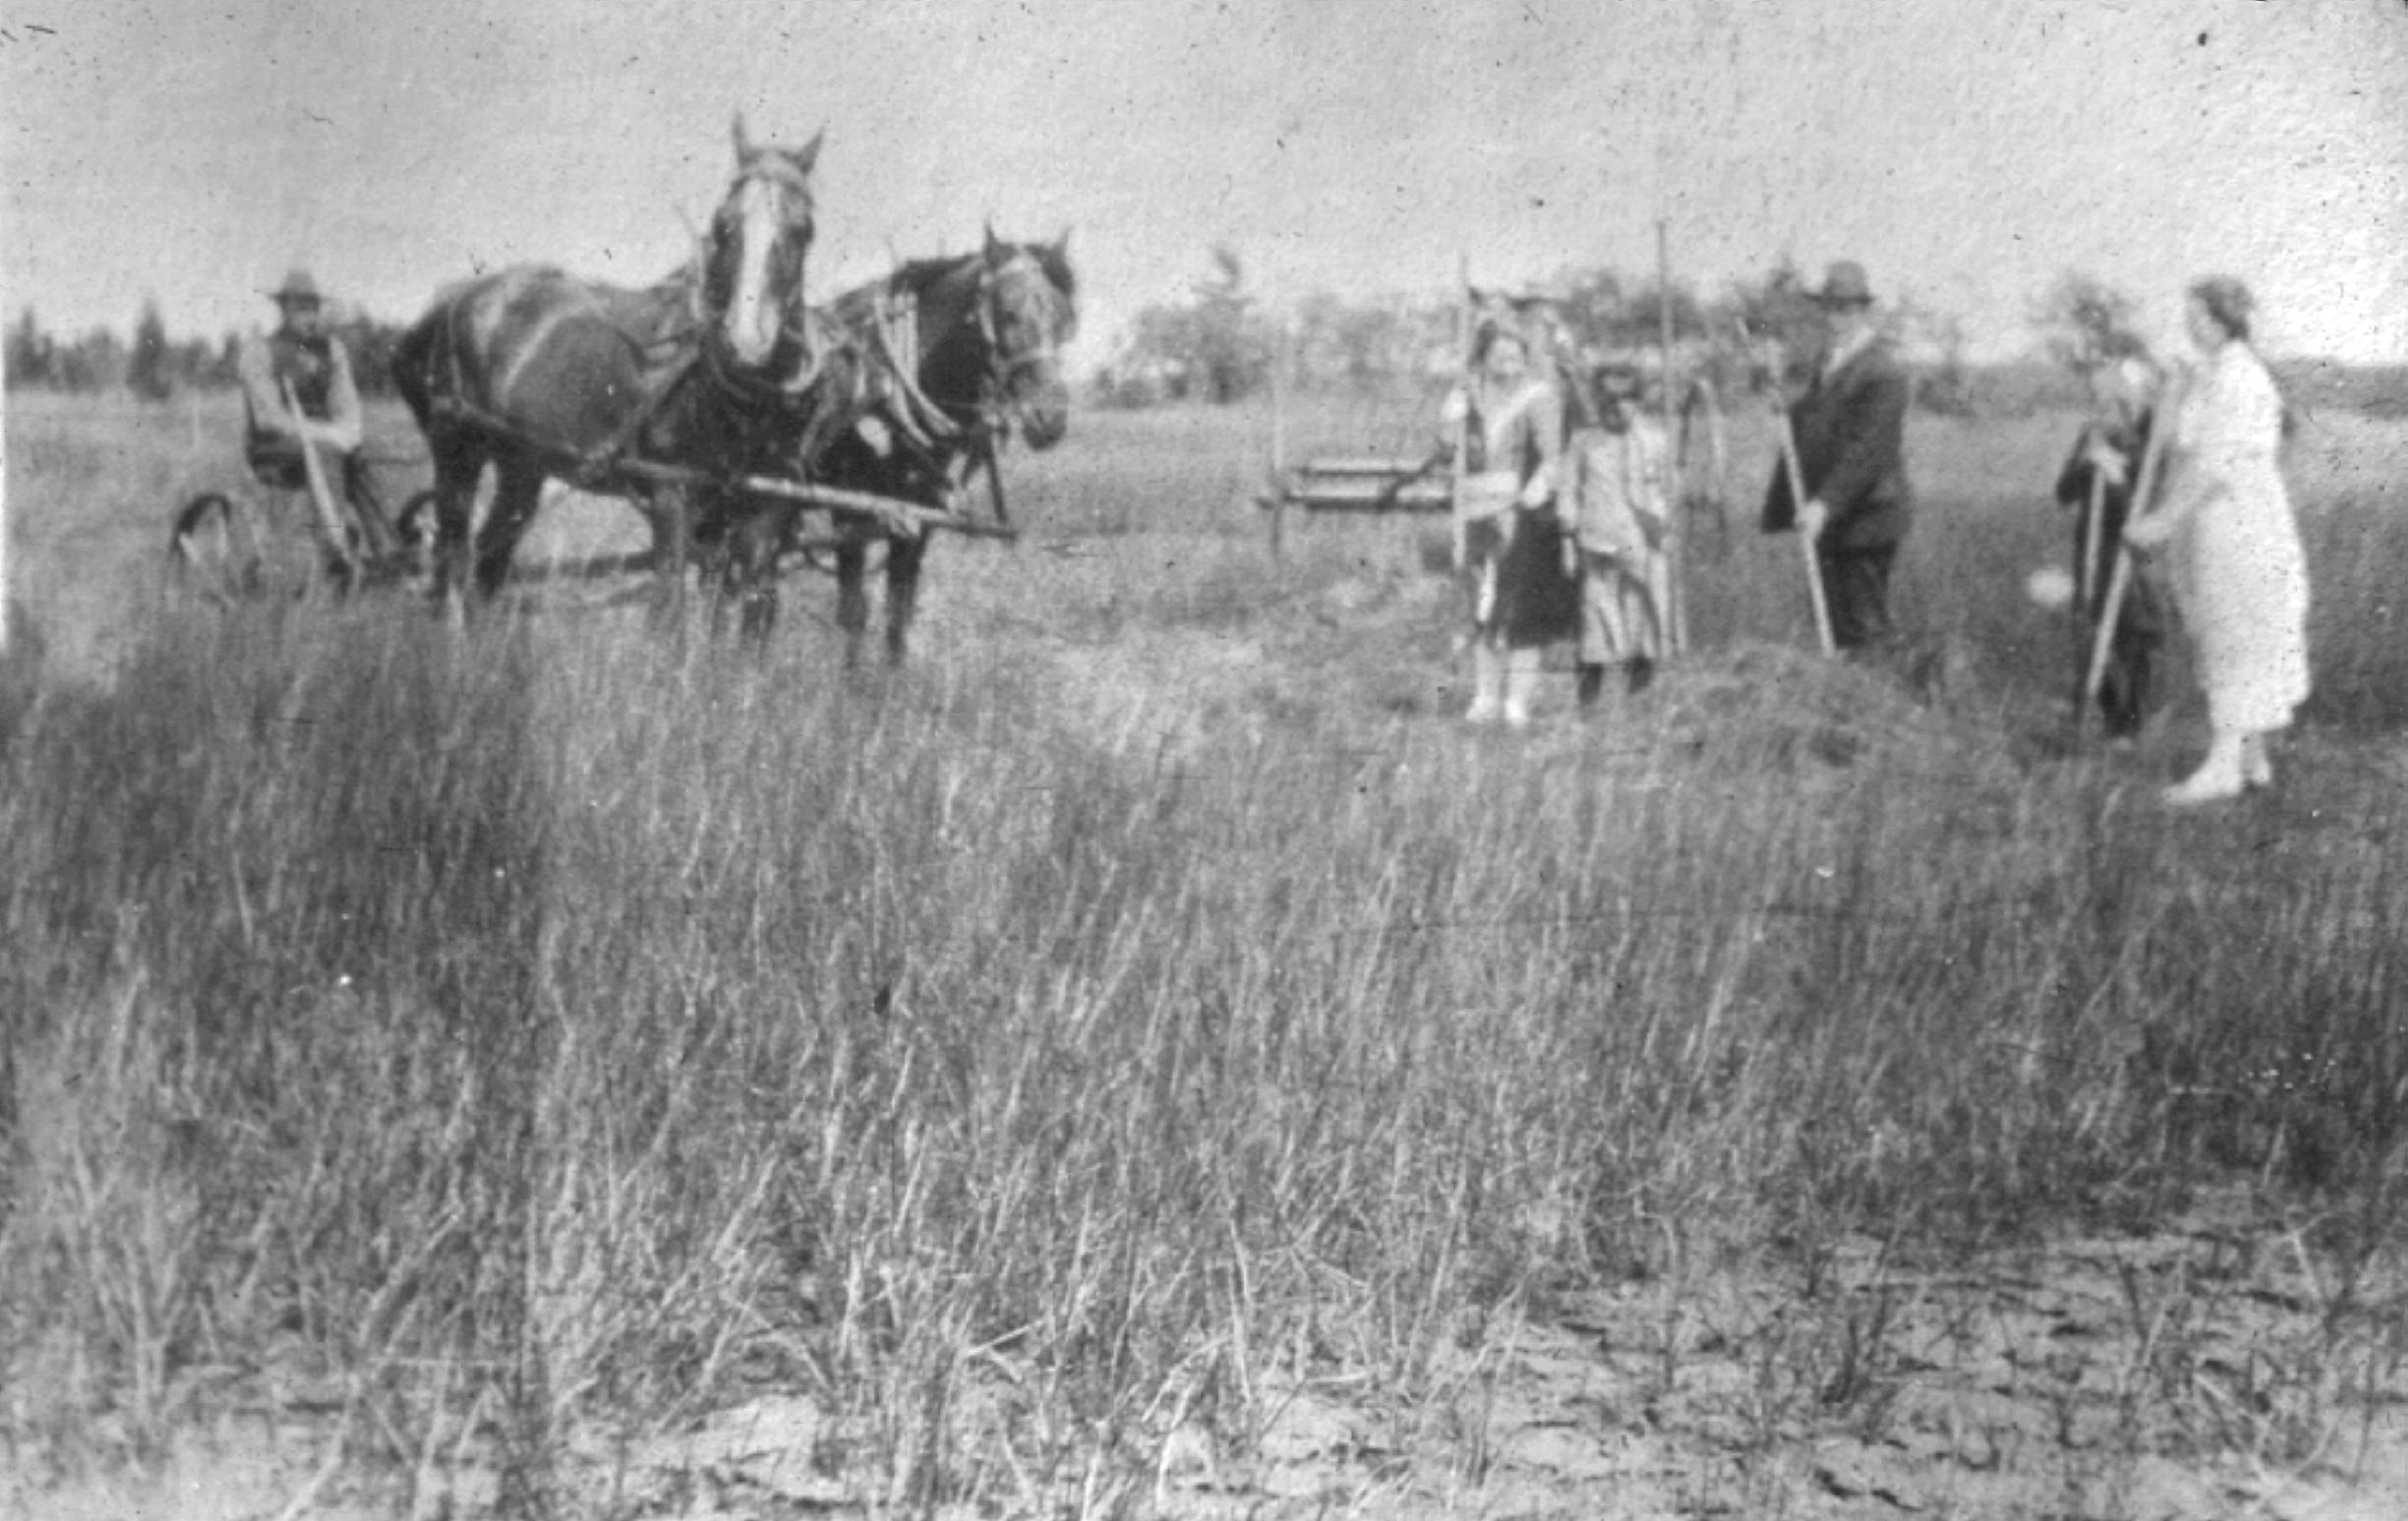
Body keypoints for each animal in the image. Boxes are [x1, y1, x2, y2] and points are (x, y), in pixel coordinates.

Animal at [389, 111, 833, 625]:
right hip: (456, 451)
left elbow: (745, 618)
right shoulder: (671, 499)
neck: (740, 401)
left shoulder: (762, 516)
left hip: (521, 465)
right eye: (723, 225)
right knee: (454, 561)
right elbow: (670, 616)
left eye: (805, 230)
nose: (746, 341)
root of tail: (459, 297)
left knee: (489, 560)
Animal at [808, 228, 1074, 664]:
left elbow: (899, 611)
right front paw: (851, 682)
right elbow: (854, 612)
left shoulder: (919, 513)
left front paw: (890, 681)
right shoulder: (848, 506)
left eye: (1064, 318)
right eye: (1007, 313)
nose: (1049, 418)